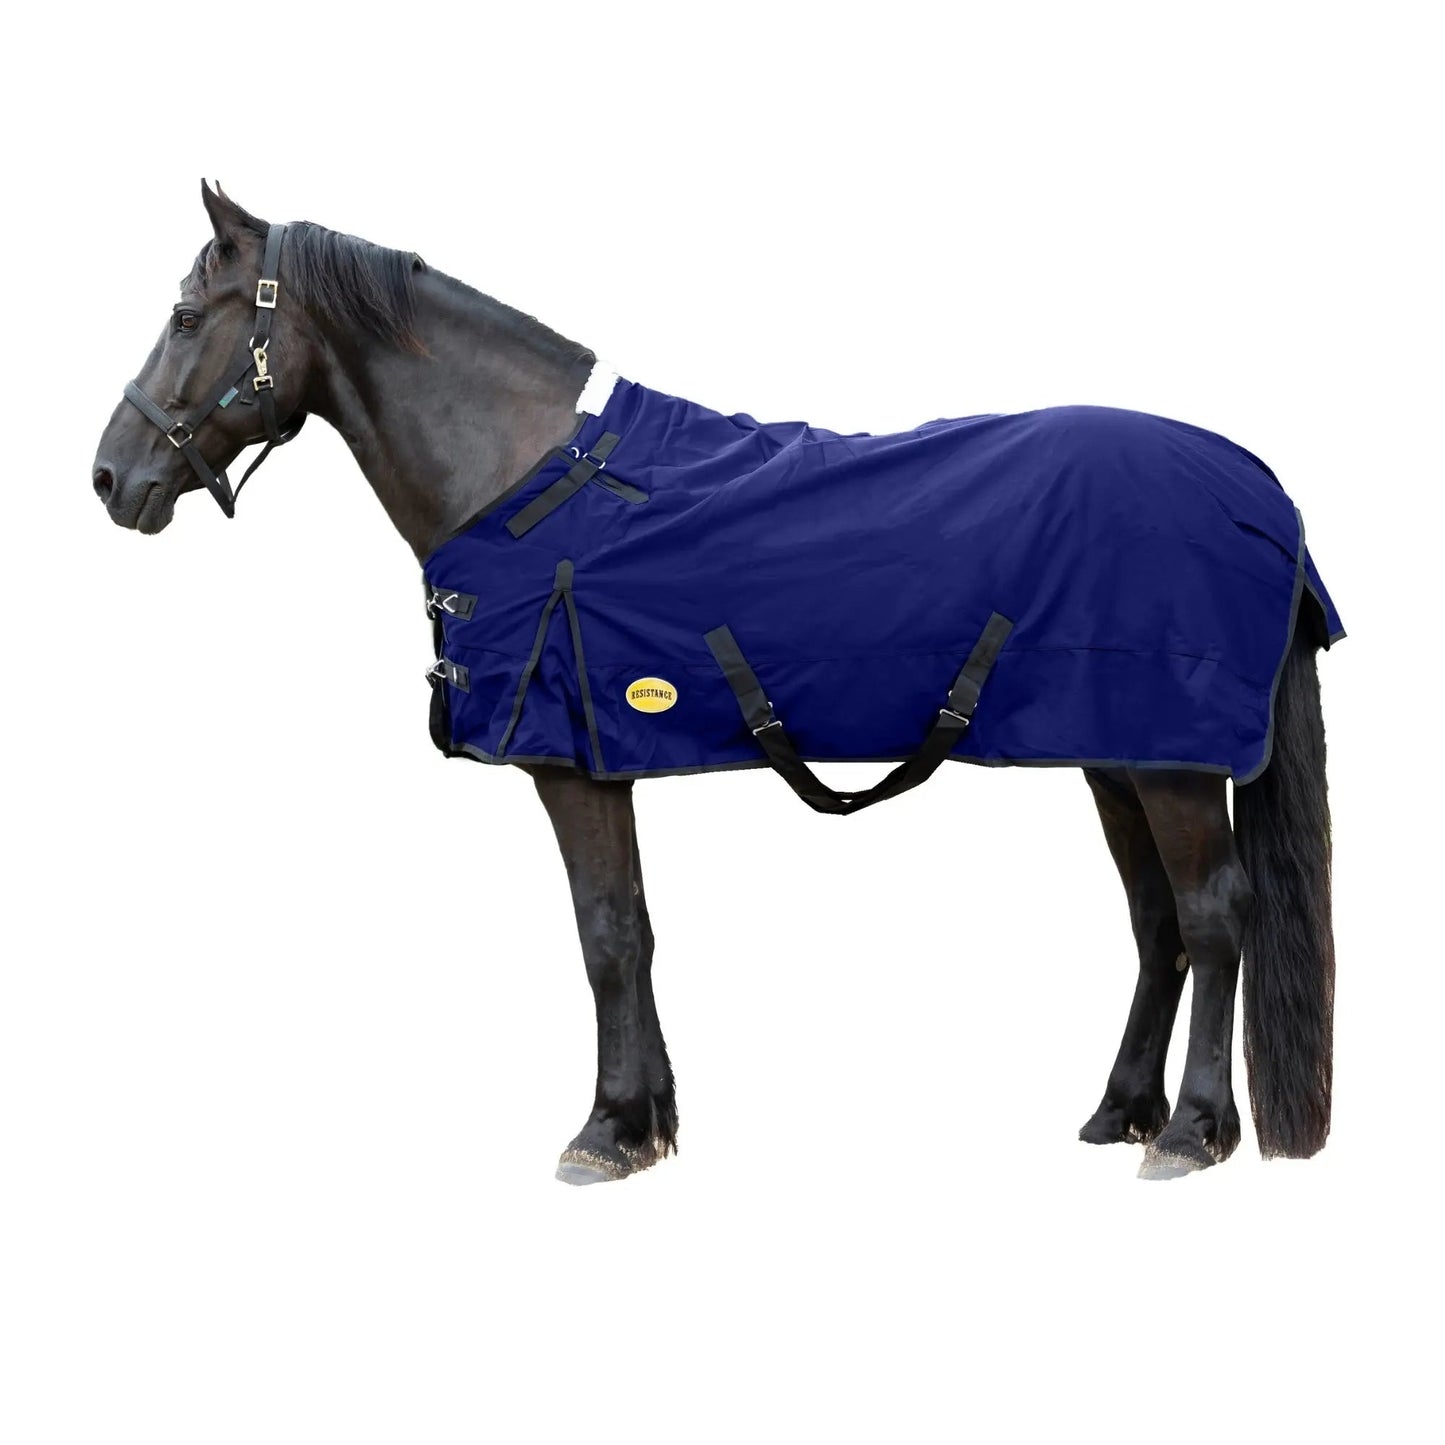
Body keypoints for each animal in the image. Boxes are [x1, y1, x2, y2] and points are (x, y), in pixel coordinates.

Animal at [91, 183, 1338, 1184]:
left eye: (187, 317)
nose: (110, 475)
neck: (527, 478)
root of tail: (1254, 483)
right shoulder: (604, 759)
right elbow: (635, 928)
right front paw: (647, 1121)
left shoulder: (566, 763)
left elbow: (602, 933)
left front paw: (602, 1131)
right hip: (1118, 754)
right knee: (1155, 920)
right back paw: (1118, 1110)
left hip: (1172, 764)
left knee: (1212, 915)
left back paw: (1189, 1130)